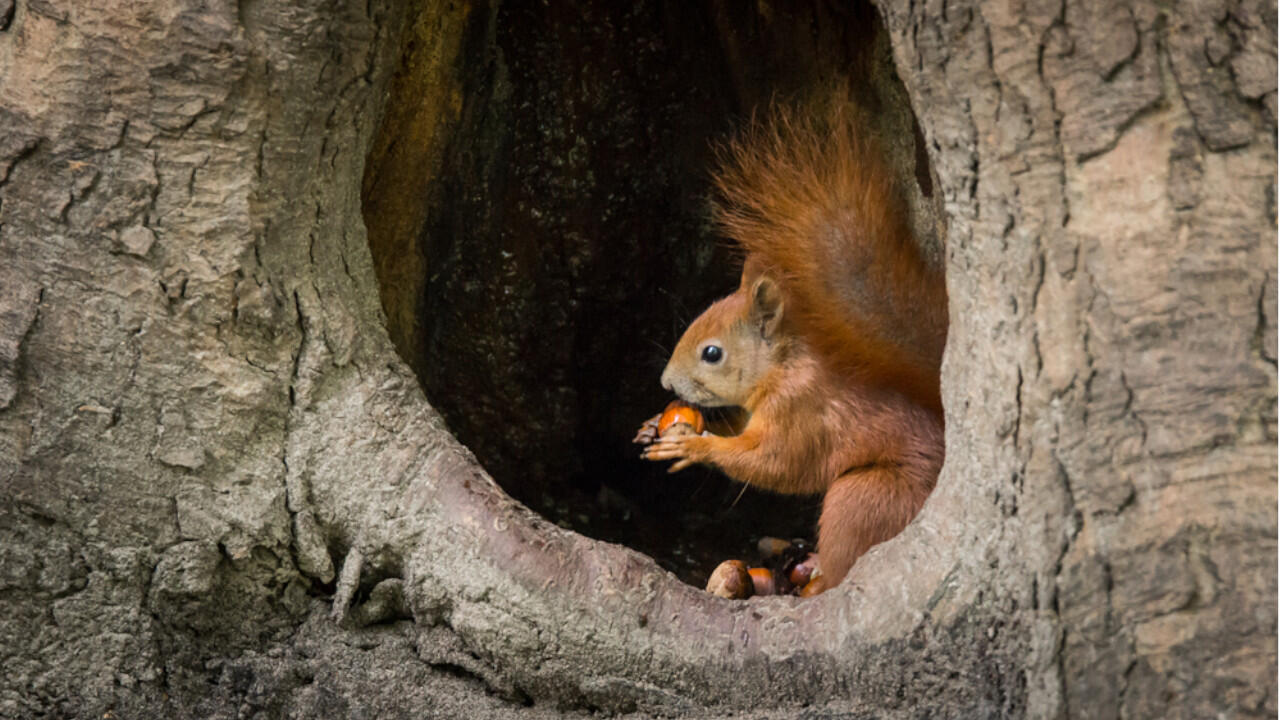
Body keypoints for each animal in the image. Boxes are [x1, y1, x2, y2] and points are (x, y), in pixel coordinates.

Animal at [645, 102, 947, 594]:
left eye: (712, 353)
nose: (666, 382)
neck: (781, 369)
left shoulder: (801, 411)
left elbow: (772, 463)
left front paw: (693, 448)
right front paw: (654, 424)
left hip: (863, 498)